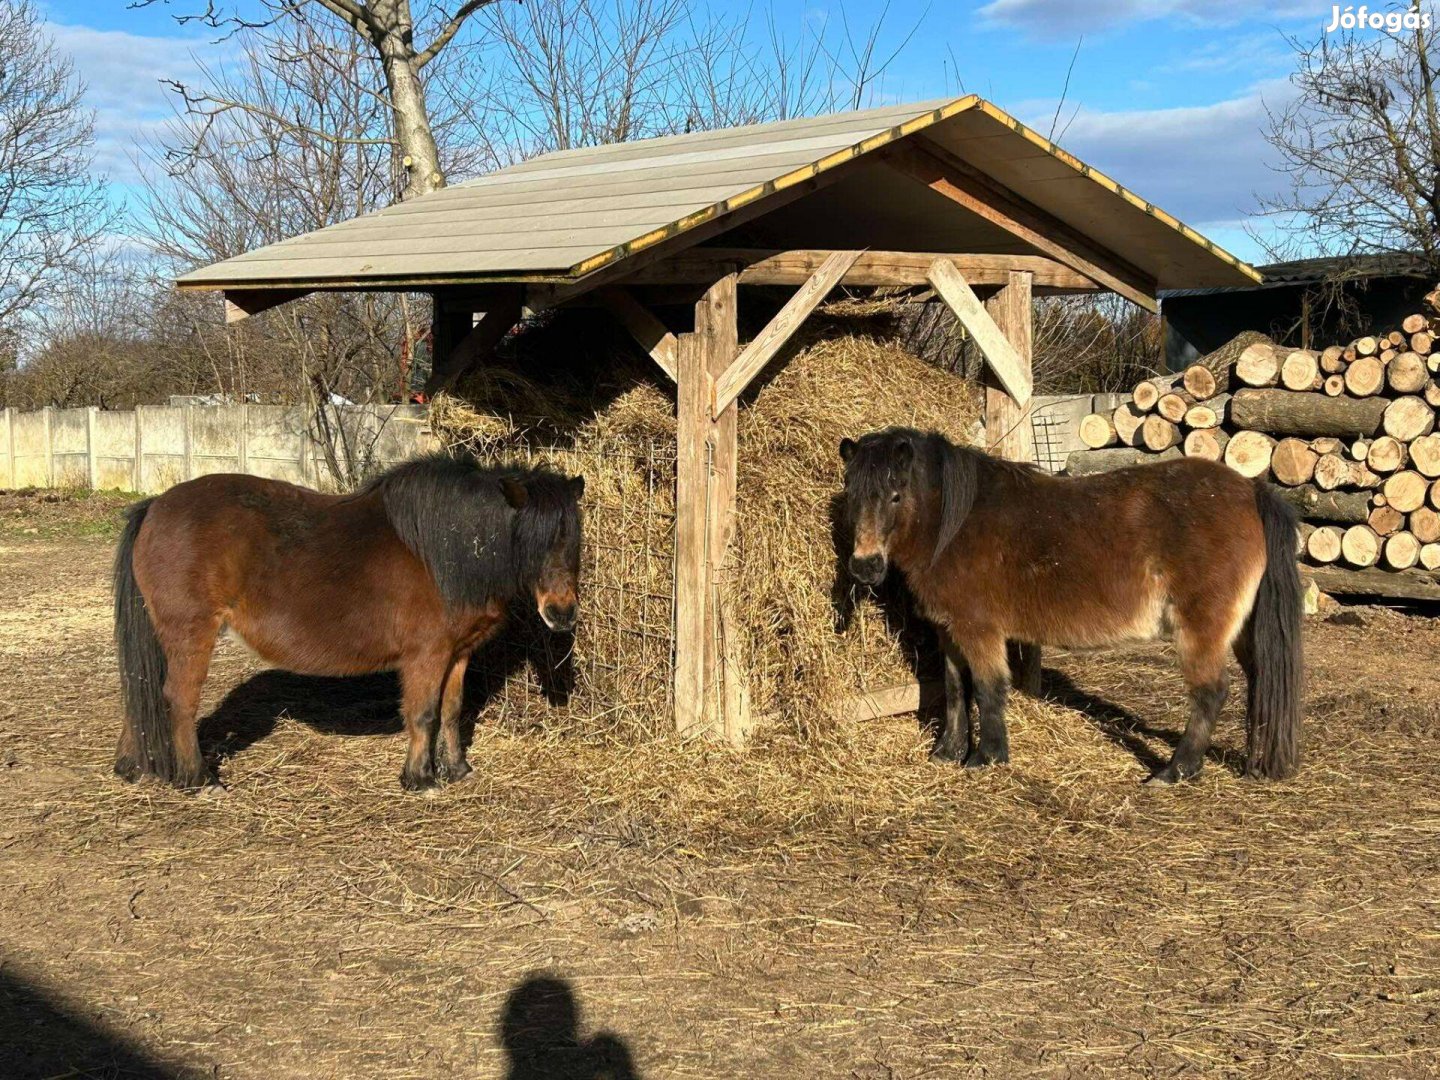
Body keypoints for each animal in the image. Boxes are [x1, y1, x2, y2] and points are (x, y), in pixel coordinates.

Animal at [113, 452, 584, 789]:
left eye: (574, 540)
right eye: (532, 540)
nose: (561, 614)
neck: (449, 552)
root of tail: (155, 507)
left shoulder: (458, 653)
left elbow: (452, 711)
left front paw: (458, 770)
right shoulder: (427, 655)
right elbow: (424, 714)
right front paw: (420, 779)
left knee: (140, 691)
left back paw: (133, 767)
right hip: (192, 634)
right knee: (179, 700)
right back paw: (198, 779)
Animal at [835, 429, 1307, 789]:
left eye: (896, 496)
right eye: (852, 495)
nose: (865, 566)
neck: (953, 526)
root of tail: (1249, 490)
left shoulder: (979, 629)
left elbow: (987, 688)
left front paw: (987, 756)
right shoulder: (949, 630)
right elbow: (954, 688)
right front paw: (948, 752)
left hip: (1200, 631)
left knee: (1211, 693)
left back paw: (1175, 771)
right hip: (1242, 633)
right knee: (1260, 681)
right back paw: (1252, 760)